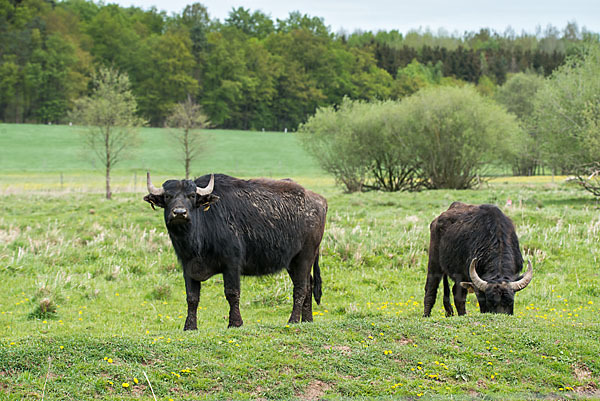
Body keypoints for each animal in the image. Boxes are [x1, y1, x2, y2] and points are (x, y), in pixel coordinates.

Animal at [143, 172, 326, 328]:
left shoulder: (231, 264)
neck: (197, 242)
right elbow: (192, 298)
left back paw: (293, 320)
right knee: (308, 284)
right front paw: (190, 326)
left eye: (192, 196)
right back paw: (307, 320)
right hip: (293, 261)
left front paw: (235, 323)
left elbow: (232, 293)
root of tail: (319, 200)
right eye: (168, 196)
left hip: (305, 256)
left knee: (300, 288)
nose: (179, 213)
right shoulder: (188, 266)